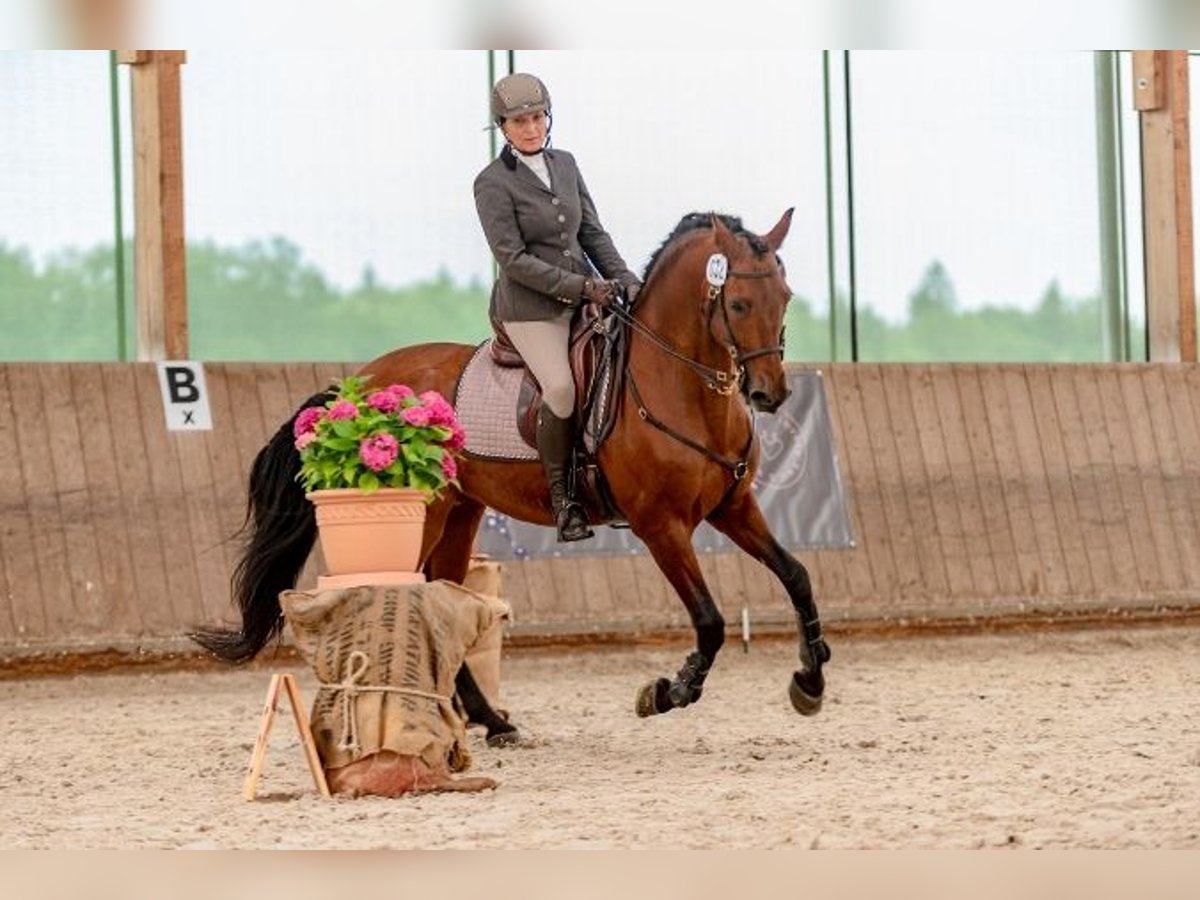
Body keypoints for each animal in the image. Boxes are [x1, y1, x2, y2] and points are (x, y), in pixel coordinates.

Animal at [194, 210, 835, 739]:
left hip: (459, 512)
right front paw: (666, 692)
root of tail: (358, 385)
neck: (680, 388)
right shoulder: (661, 526)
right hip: (420, 518)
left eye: (785, 295)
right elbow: (710, 619)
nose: (770, 394)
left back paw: (488, 720)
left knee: (440, 596)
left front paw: (810, 679)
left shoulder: (735, 508)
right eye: (739, 304)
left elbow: (797, 575)